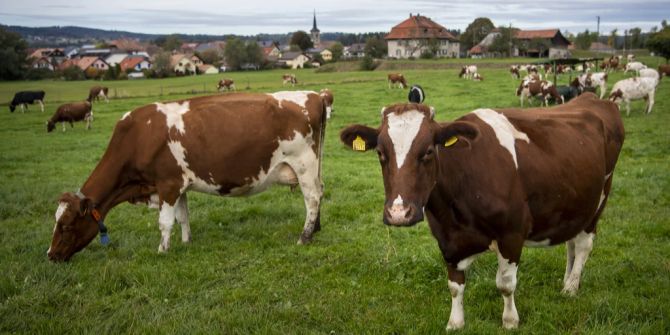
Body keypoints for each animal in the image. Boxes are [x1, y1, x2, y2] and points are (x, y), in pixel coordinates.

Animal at [46, 91, 328, 262]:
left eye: (66, 225)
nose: (50, 254)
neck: (137, 137)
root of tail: (314, 95)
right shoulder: (178, 185)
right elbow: (182, 217)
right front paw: (185, 242)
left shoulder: (167, 185)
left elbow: (164, 222)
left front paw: (162, 250)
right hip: (313, 166)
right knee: (320, 192)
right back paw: (315, 229)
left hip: (303, 164)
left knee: (312, 198)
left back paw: (304, 237)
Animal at [344, 93, 628, 330]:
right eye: (381, 153)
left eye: (428, 151)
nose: (398, 213)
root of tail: (592, 98)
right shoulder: (448, 238)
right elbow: (455, 285)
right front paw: (455, 323)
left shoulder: (512, 233)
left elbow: (505, 284)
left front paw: (510, 321)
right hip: (574, 204)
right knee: (571, 243)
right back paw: (568, 282)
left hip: (599, 199)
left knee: (583, 245)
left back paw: (570, 288)